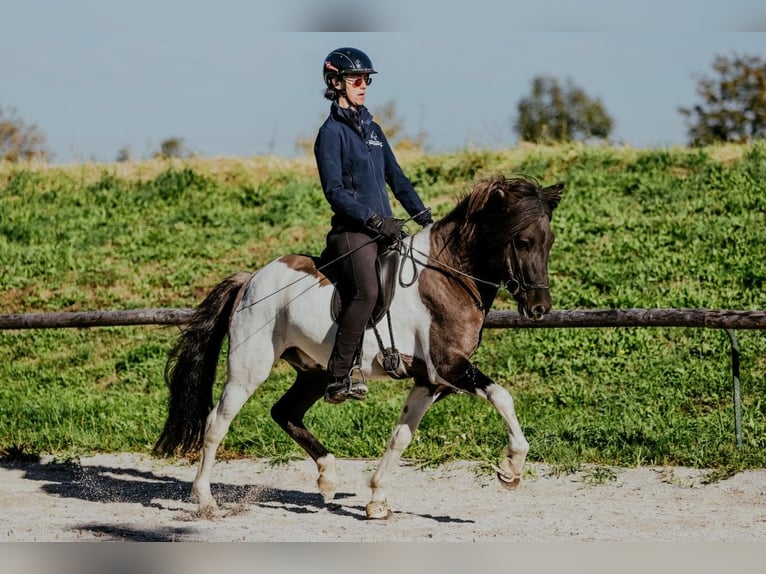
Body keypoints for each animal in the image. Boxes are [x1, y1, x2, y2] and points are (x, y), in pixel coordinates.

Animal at [154, 174, 564, 519]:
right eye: (523, 242)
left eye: (549, 243)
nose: (540, 309)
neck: (449, 275)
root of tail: (252, 278)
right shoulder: (448, 366)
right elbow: (503, 396)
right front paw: (511, 468)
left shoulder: (431, 380)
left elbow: (401, 436)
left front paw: (377, 499)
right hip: (248, 369)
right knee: (216, 423)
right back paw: (206, 500)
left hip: (315, 372)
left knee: (285, 412)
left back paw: (328, 477)